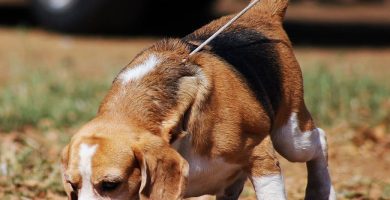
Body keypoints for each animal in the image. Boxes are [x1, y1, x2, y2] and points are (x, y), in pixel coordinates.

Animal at [61, 0, 336, 199]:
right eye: (72, 185)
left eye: (110, 184)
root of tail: (260, 15)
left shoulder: (262, 157)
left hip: (290, 136)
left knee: (319, 140)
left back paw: (322, 192)